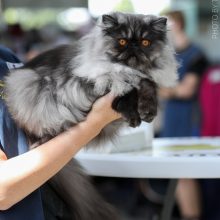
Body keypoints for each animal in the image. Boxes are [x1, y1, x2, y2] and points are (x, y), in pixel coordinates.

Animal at [4, 12, 177, 220]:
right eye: (122, 41)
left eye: (145, 42)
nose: (134, 46)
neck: (130, 70)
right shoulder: (100, 80)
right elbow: (125, 91)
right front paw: (133, 116)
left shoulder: (143, 78)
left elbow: (147, 87)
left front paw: (148, 112)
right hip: (25, 85)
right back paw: (42, 141)